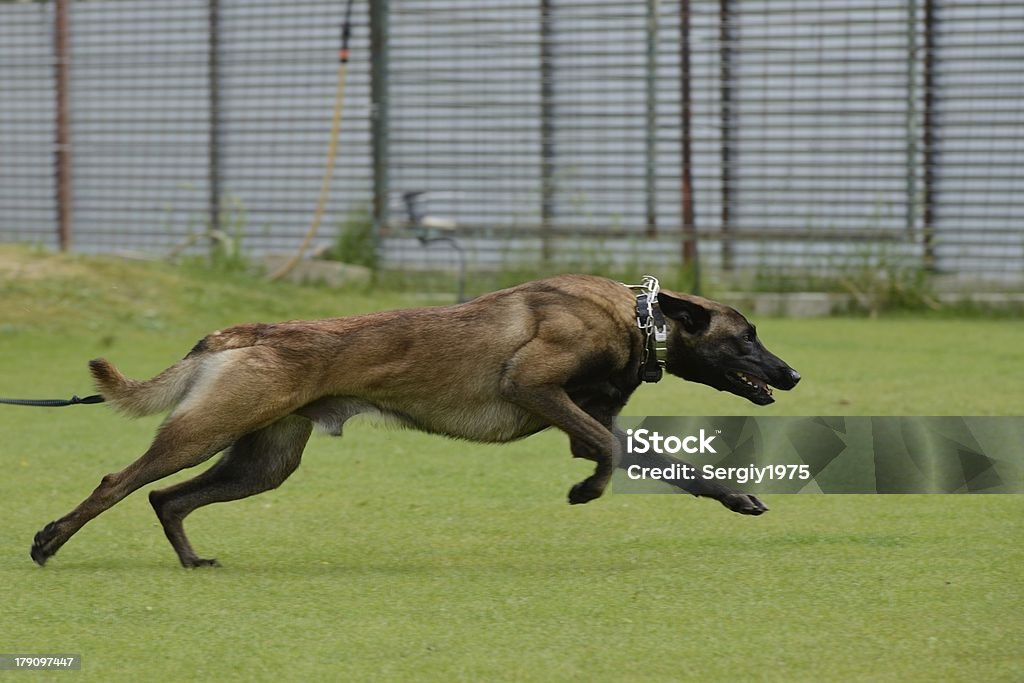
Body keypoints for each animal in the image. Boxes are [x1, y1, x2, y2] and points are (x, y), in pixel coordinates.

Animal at [29, 274, 798, 569]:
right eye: (747, 336)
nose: (791, 375)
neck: (637, 317)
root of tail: (244, 331)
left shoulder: (592, 419)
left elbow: (675, 465)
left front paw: (737, 497)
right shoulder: (536, 387)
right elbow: (603, 454)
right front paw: (586, 493)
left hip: (263, 463)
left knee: (166, 498)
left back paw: (191, 561)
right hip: (203, 434)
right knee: (119, 482)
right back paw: (48, 541)